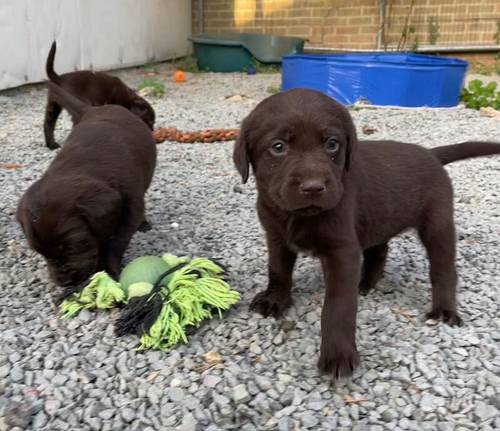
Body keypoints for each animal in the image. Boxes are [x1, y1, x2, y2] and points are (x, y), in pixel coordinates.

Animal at [18, 81, 154, 296]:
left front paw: (108, 270)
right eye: (41, 252)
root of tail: (92, 109)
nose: (63, 282)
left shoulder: (130, 207)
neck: (81, 167)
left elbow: (116, 242)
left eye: (72, 247)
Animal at [234, 89, 500, 380]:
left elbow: (337, 307)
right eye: (278, 147)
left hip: (437, 225)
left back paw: (443, 310)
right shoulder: (276, 237)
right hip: (379, 219)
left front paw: (338, 355)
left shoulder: (342, 252)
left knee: (443, 270)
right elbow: (278, 271)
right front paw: (274, 300)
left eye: (332, 144)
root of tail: (430, 154)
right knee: (379, 250)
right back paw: (365, 283)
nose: (314, 187)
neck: (296, 216)